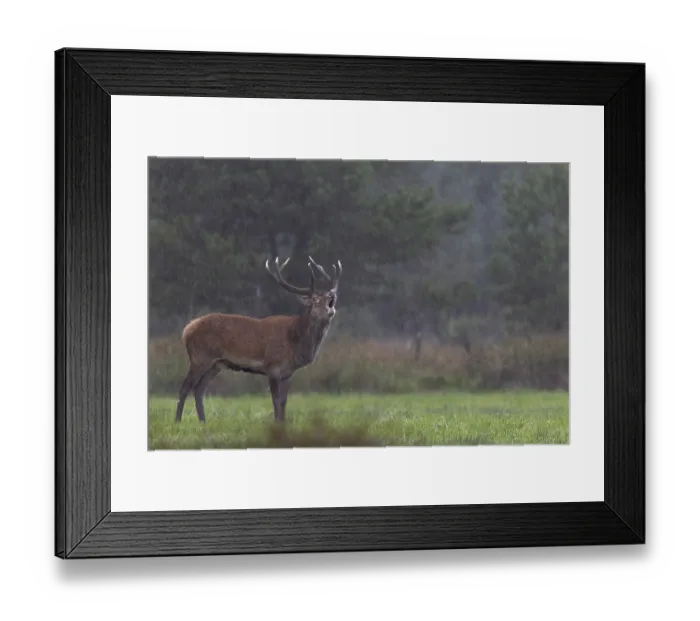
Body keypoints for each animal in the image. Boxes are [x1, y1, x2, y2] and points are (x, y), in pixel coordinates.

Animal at [174, 255, 342, 424]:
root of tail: (186, 330)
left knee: (199, 389)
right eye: (314, 300)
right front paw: (276, 423)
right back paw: (178, 420)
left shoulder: (287, 372)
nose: (330, 308)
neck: (295, 343)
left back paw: (203, 421)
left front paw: (283, 423)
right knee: (185, 387)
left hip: (217, 364)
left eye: (330, 299)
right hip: (200, 357)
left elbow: (284, 400)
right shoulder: (272, 366)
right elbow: (275, 399)